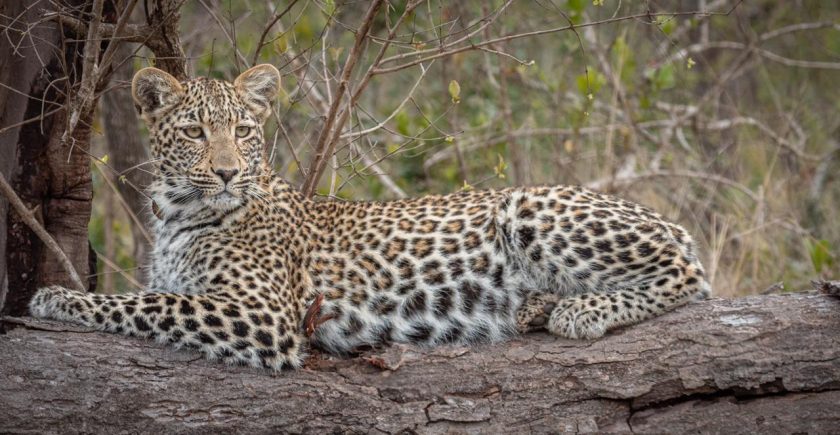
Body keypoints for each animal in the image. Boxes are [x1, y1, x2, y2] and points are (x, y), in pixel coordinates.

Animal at [27, 63, 708, 372]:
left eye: (243, 131)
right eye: (194, 132)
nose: (224, 171)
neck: (177, 213)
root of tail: (657, 215)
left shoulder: (263, 314)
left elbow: (147, 303)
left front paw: (58, 298)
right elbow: (154, 294)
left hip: (532, 205)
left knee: (689, 273)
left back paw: (581, 311)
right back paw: (538, 305)